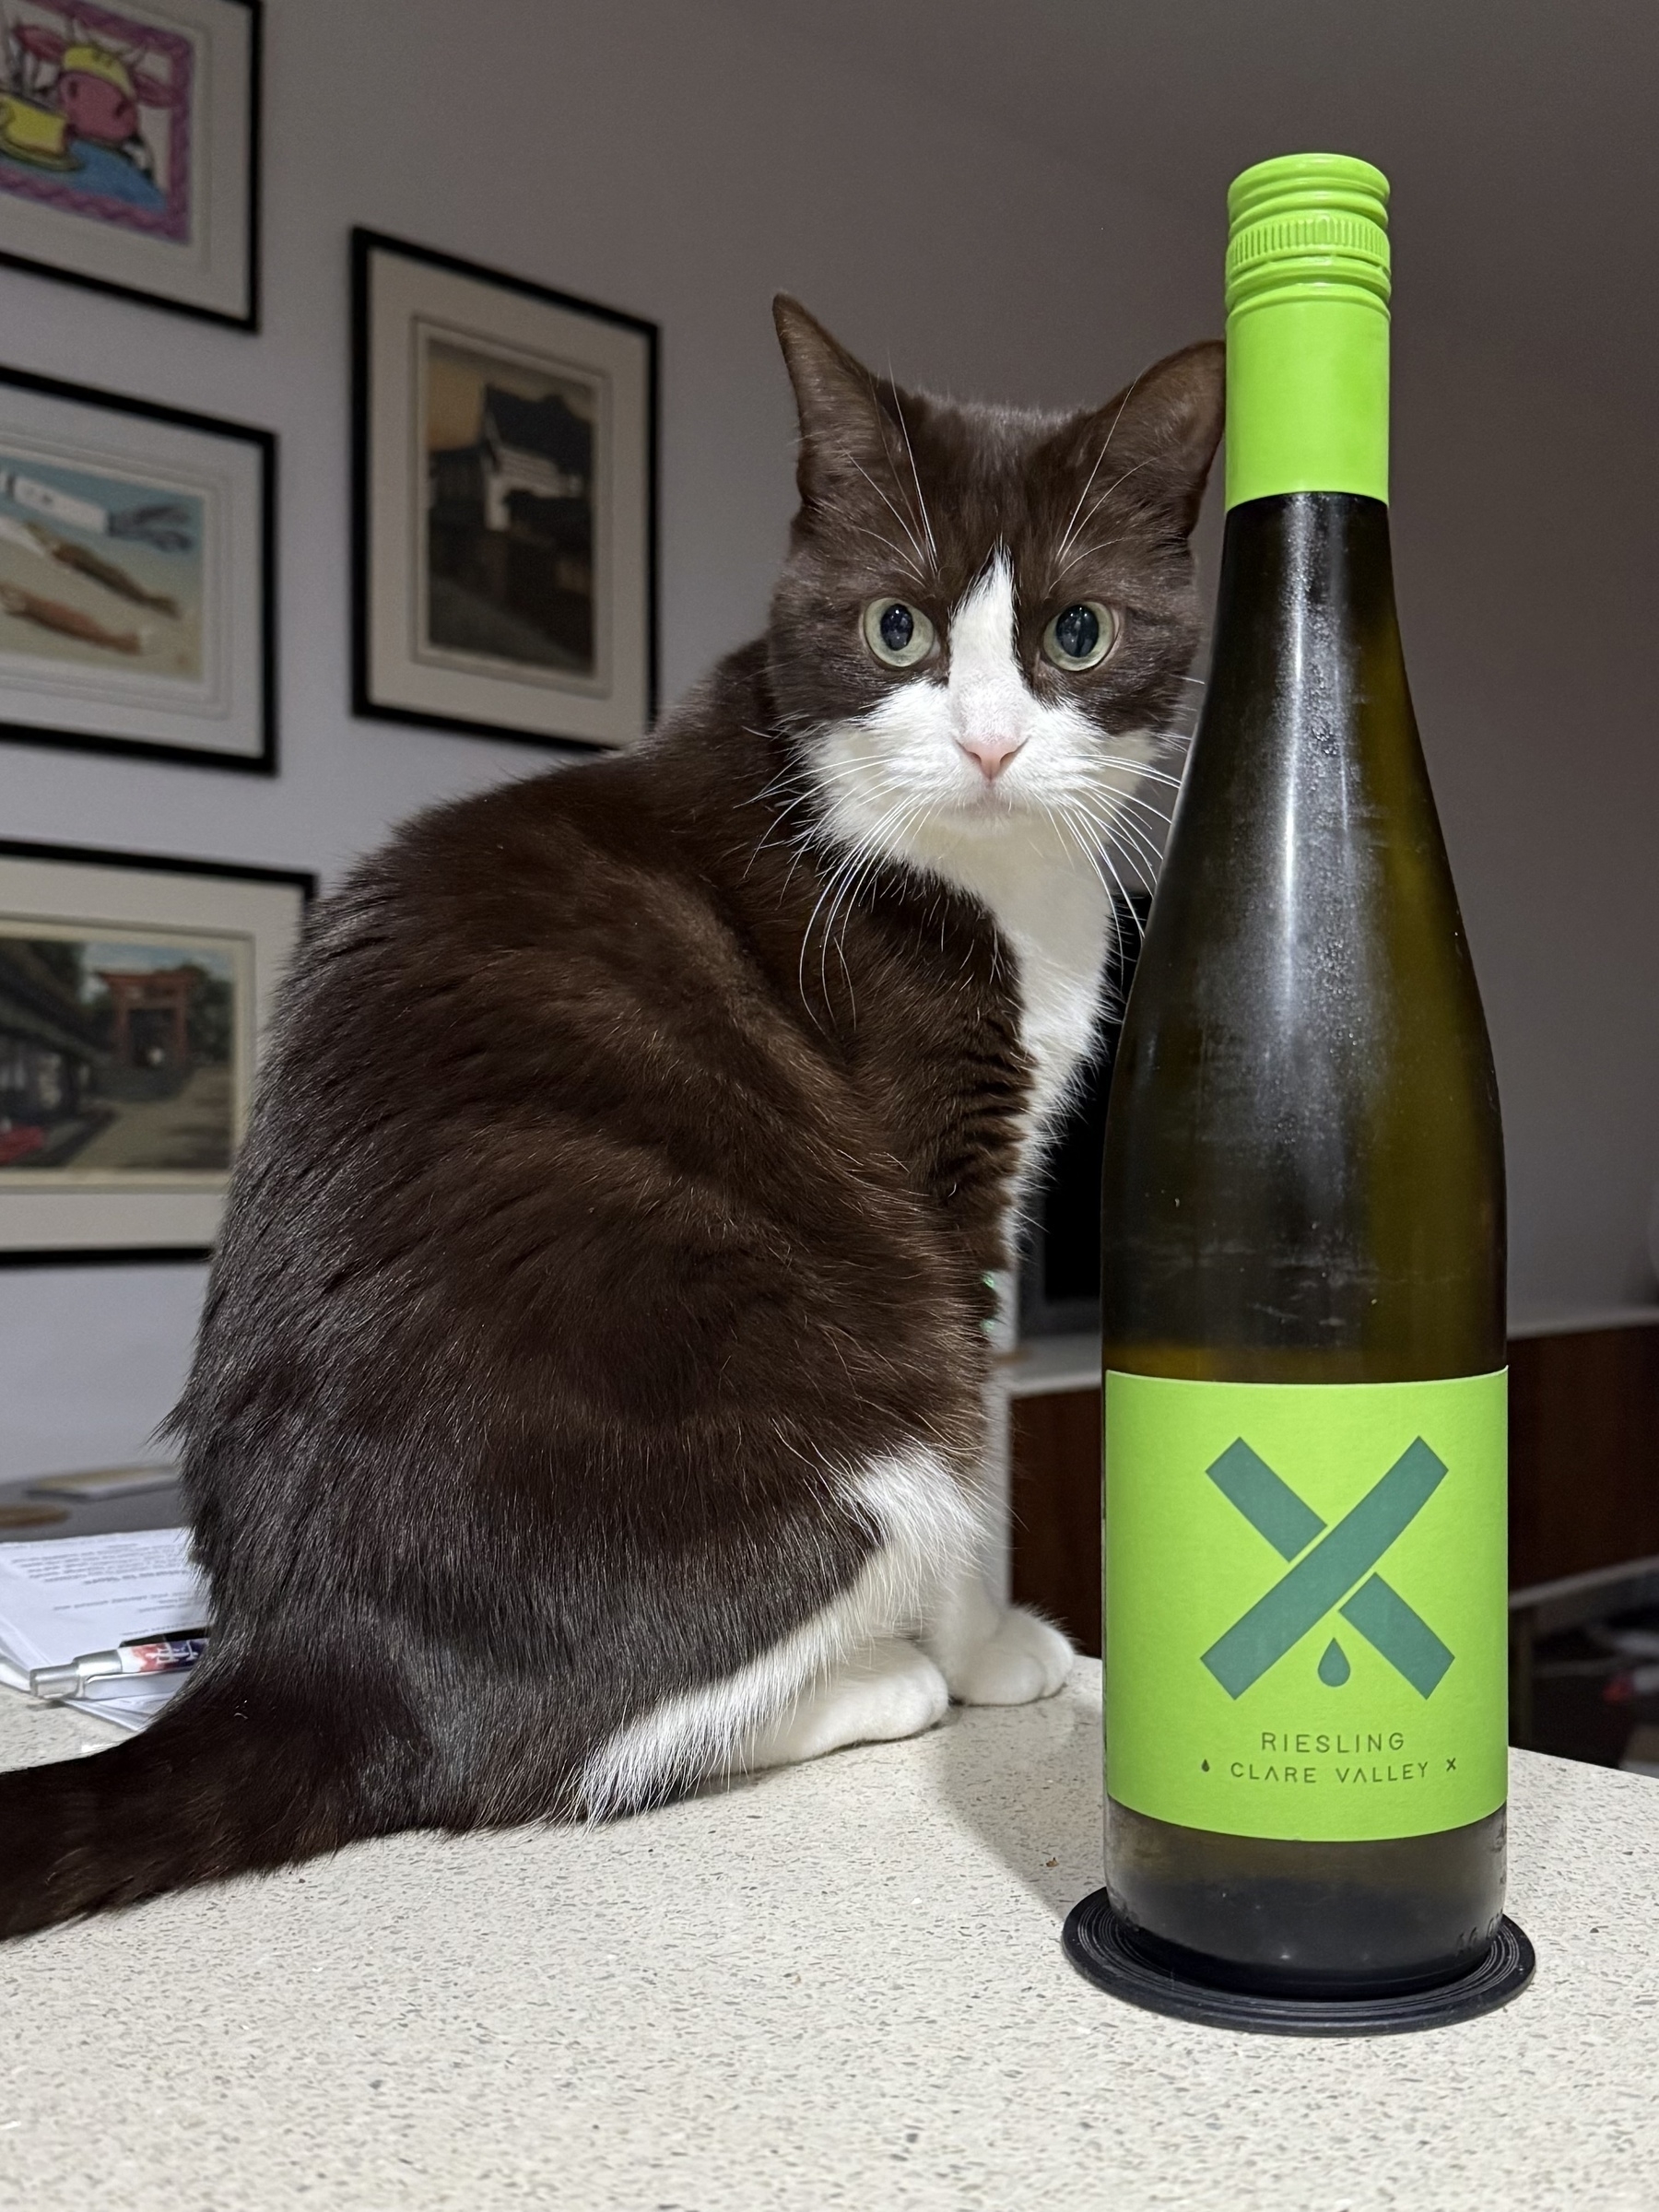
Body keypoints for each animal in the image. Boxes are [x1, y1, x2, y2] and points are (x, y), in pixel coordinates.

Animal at [0, 299, 1220, 1937]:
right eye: (896, 630)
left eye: (1075, 633)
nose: (986, 744)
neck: (993, 876)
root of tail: (315, 1660)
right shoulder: (939, 1173)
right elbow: (982, 1449)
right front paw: (993, 1654)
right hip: (840, 1413)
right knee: (547, 1756)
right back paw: (881, 1681)